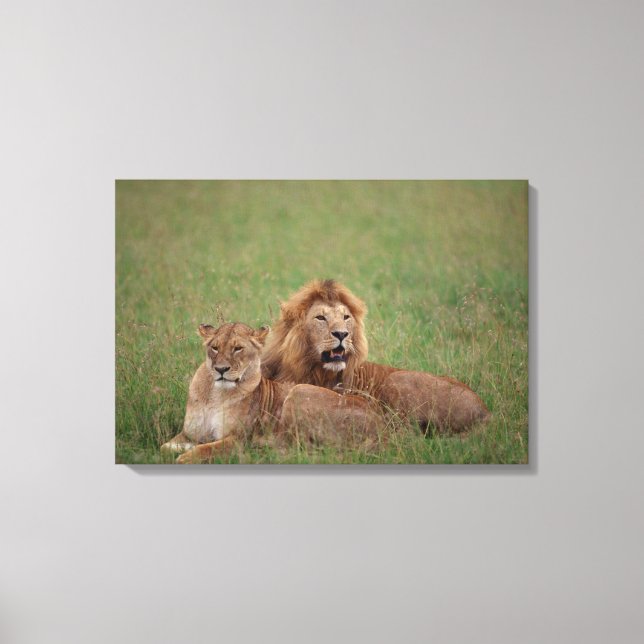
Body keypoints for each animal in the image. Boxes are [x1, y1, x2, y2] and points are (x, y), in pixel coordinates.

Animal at [161, 322, 383, 463]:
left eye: (238, 348)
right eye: (215, 348)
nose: (221, 369)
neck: (215, 394)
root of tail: (382, 427)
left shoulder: (238, 439)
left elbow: (205, 449)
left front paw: (184, 458)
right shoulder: (188, 434)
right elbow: (164, 447)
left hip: (299, 391)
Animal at [261, 279, 490, 432]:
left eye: (346, 317)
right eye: (320, 318)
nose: (342, 334)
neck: (310, 368)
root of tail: (485, 411)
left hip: (398, 379)